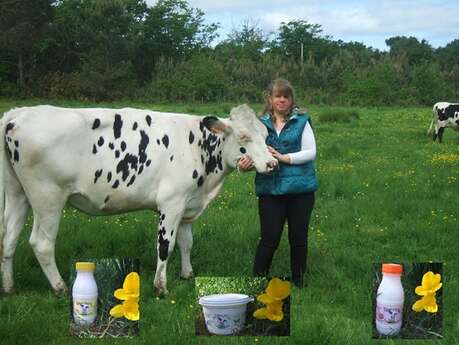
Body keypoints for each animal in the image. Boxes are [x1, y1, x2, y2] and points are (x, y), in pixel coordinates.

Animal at [0, 103, 276, 294]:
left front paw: (187, 274)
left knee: (8, 240)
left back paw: (9, 287)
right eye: (243, 137)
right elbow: (166, 246)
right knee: (41, 243)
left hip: (17, 194)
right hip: (48, 198)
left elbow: (187, 242)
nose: (272, 163)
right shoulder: (171, 203)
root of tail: (19, 113)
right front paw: (160, 287)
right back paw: (59, 287)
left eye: (265, 135)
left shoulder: (187, 204)